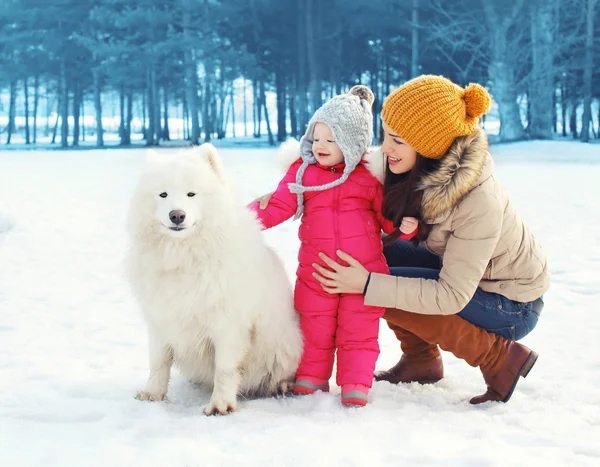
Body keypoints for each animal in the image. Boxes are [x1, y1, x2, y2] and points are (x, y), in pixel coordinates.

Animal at [127, 144, 304, 414]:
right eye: (163, 194)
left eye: (191, 194)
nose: (176, 215)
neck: (184, 256)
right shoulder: (161, 319)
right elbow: (158, 362)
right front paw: (152, 395)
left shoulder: (228, 325)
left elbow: (225, 369)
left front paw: (220, 405)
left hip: (286, 344)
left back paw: (283, 385)